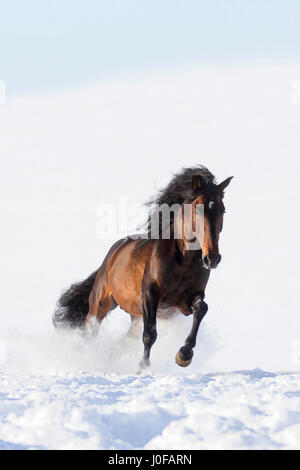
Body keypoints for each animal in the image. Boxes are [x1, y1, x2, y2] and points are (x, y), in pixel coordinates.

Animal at [53, 166, 232, 370]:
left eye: (223, 210)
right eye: (197, 208)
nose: (212, 258)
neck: (183, 260)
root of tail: (114, 251)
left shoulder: (185, 301)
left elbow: (201, 309)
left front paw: (184, 355)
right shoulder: (149, 295)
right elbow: (149, 334)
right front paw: (143, 368)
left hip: (135, 315)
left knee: (123, 341)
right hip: (101, 304)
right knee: (90, 330)